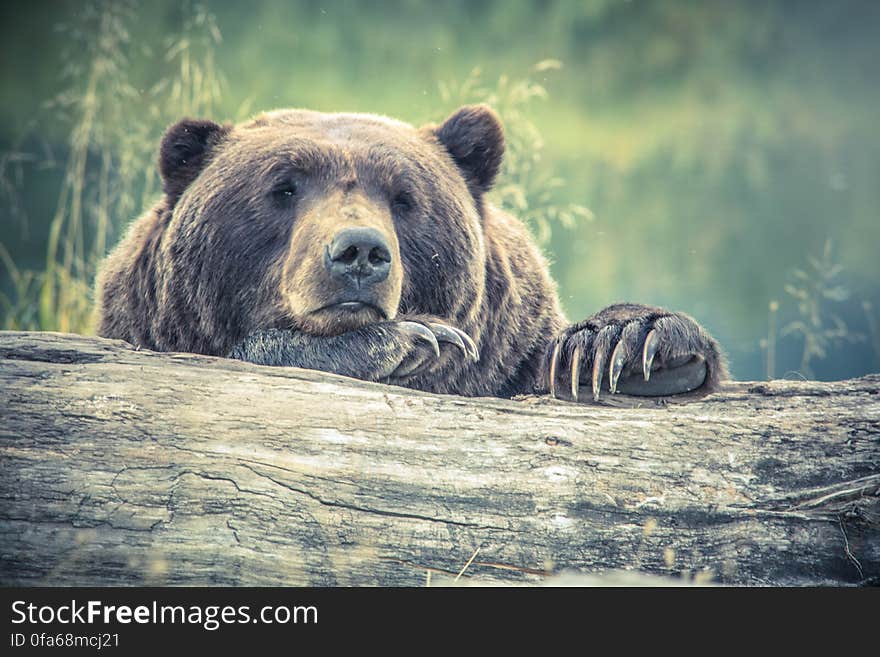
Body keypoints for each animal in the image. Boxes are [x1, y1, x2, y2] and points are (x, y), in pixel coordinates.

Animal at [94, 105, 720, 400]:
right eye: (283, 187)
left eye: (403, 197)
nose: (359, 252)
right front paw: (412, 339)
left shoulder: (508, 352)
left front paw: (625, 344)